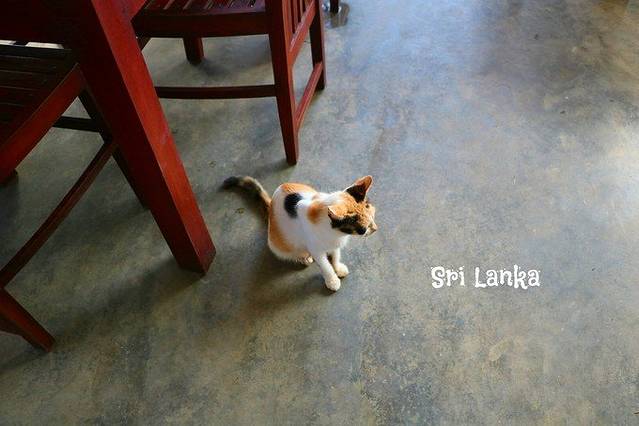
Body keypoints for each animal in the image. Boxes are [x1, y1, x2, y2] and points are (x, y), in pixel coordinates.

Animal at [223, 175, 377, 291]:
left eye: (373, 219)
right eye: (363, 229)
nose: (376, 229)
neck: (336, 233)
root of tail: (271, 203)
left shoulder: (335, 243)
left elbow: (335, 255)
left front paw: (338, 268)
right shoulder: (315, 249)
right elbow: (325, 266)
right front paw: (332, 280)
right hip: (277, 243)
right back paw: (303, 257)